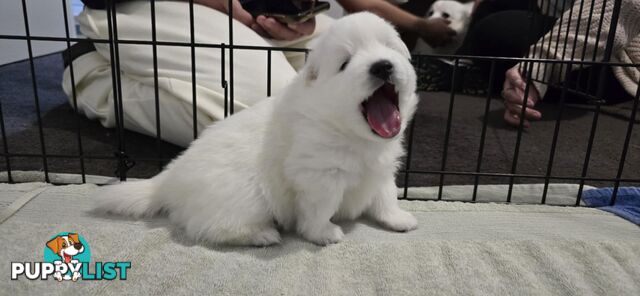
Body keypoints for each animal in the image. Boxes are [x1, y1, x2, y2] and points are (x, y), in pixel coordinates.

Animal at [92, 12, 418, 246]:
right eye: (345, 63)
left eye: (389, 48)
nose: (382, 66)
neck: (354, 134)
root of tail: (167, 180)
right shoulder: (320, 176)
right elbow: (319, 209)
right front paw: (323, 234)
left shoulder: (382, 168)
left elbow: (386, 195)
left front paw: (398, 219)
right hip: (244, 197)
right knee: (209, 227)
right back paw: (262, 235)